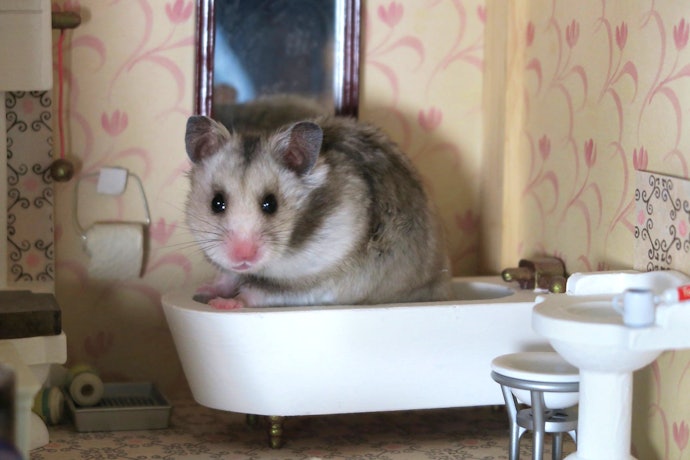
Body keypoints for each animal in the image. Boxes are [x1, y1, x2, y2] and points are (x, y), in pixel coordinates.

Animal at [184, 114, 451, 309]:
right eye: (217, 203)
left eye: (270, 204)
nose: (242, 256)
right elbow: (228, 277)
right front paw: (203, 291)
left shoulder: (317, 283)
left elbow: (257, 293)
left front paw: (223, 303)